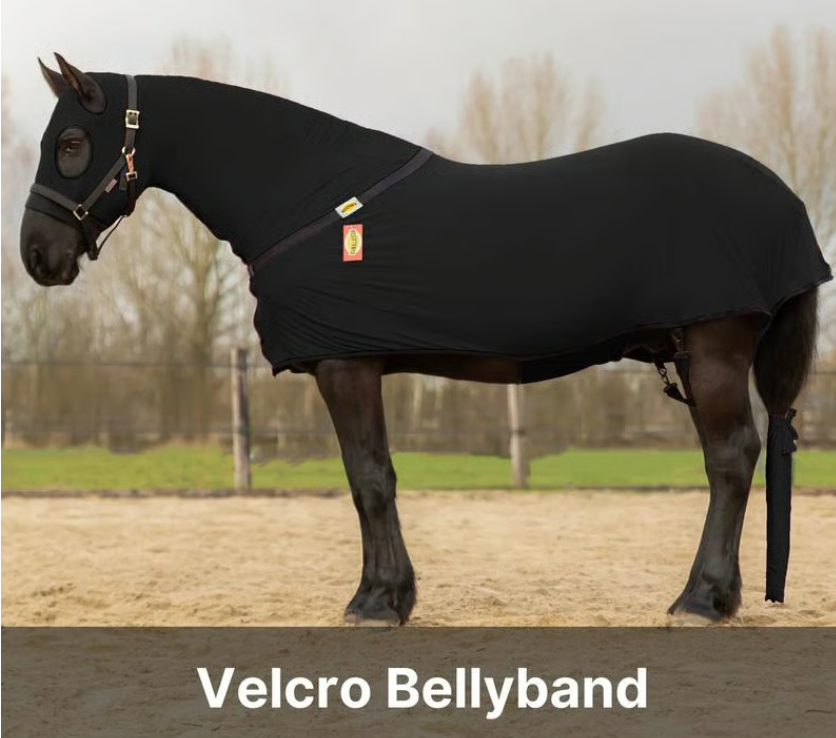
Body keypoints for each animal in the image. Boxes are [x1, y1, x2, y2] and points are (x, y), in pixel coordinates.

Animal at [21, 55, 832, 626]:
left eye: (72, 141)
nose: (38, 255)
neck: (310, 197)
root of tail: (784, 199)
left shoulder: (345, 366)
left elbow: (369, 479)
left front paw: (377, 601)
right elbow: (371, 479)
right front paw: (393, 595)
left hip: (715, 350)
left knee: (730, 460)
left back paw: (700, 599)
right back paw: (719, 596)